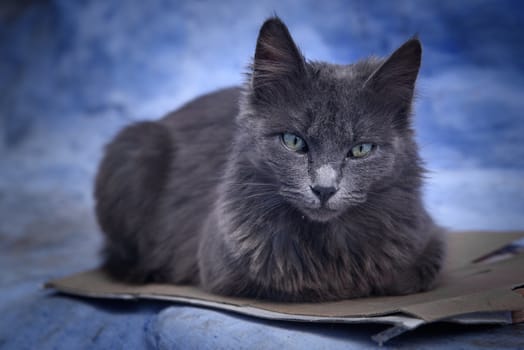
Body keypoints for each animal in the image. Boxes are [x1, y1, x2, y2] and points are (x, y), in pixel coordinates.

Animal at [95, 17, 446, 300]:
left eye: (361, 150)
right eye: (294, 141)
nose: (324, 189)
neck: (327, 244)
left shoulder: (428, 245)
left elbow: (403, 279)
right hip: (135, 148)